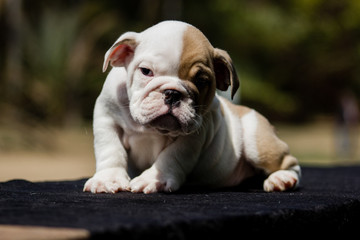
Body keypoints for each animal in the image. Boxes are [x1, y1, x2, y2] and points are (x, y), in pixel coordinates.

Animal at [83, 20, 300, 193]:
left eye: (201, 81)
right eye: (146, 71)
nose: (172, 93)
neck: (154, 129)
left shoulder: (194, 135)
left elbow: (171, 157)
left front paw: (154, 179)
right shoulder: (106, 118)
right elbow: (110, 149)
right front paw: (108, 179)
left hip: (258, 143)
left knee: (291, 163)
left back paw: (282, 178)